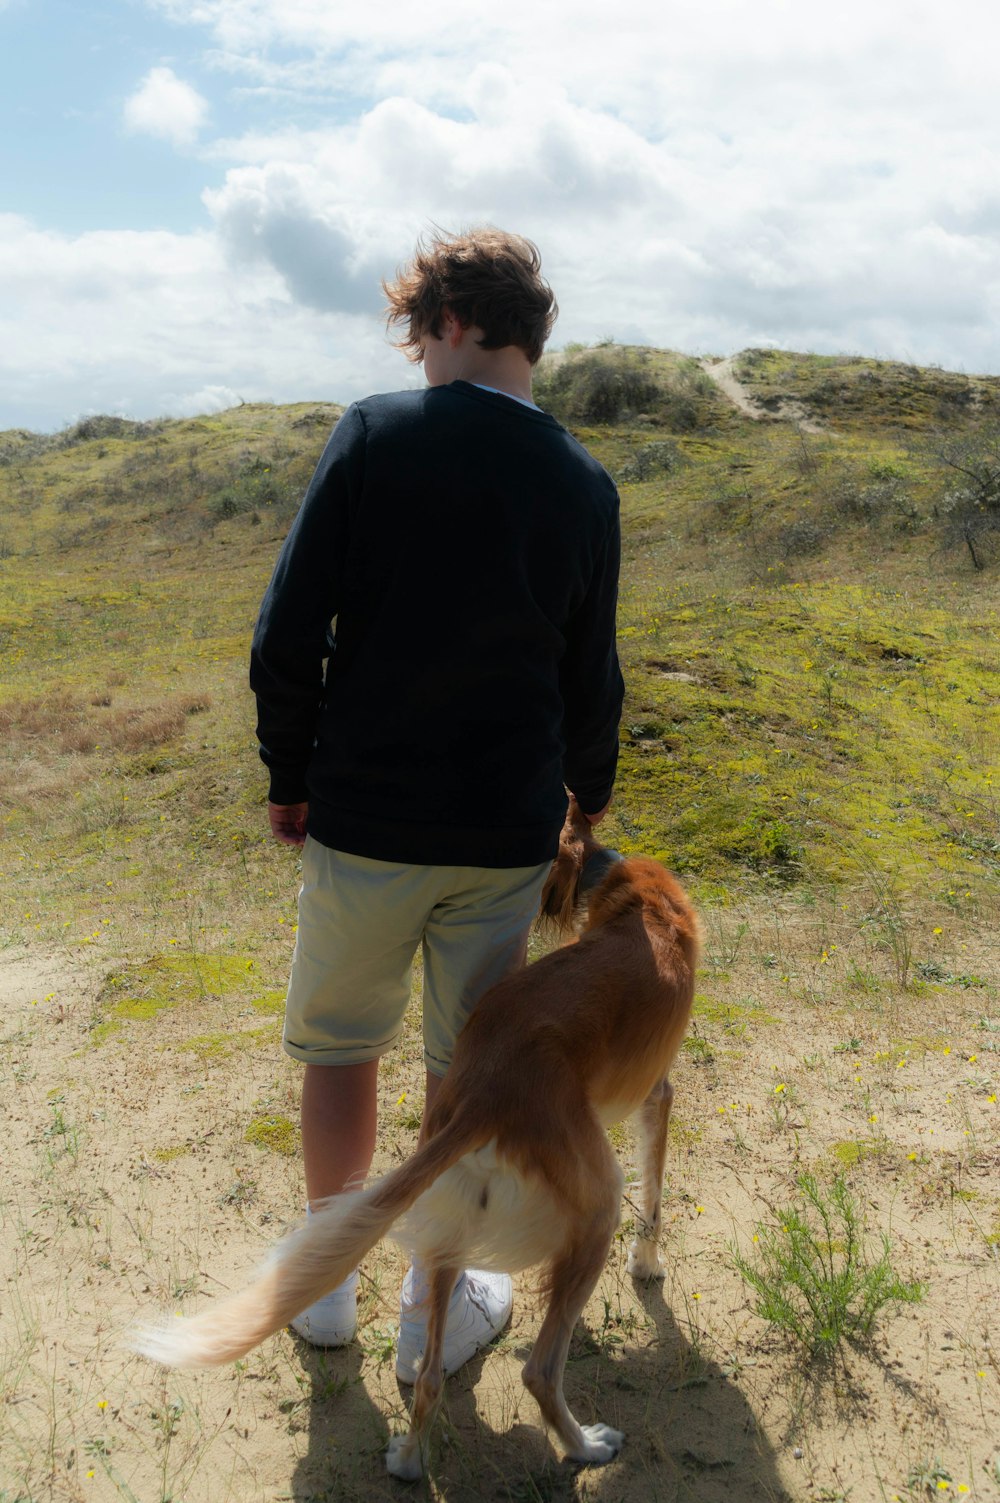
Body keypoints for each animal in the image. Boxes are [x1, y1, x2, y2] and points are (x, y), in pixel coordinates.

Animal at [134, 811, 694, 1478]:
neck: (628, 892)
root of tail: (487, 1086)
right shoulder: (659, 1094)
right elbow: (655, 1198)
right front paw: (648, 1265)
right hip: (595, 1201)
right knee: (539, 1369)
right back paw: (584, 1445)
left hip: (451, 1205)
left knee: (428, 1375)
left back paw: (408, 1457)